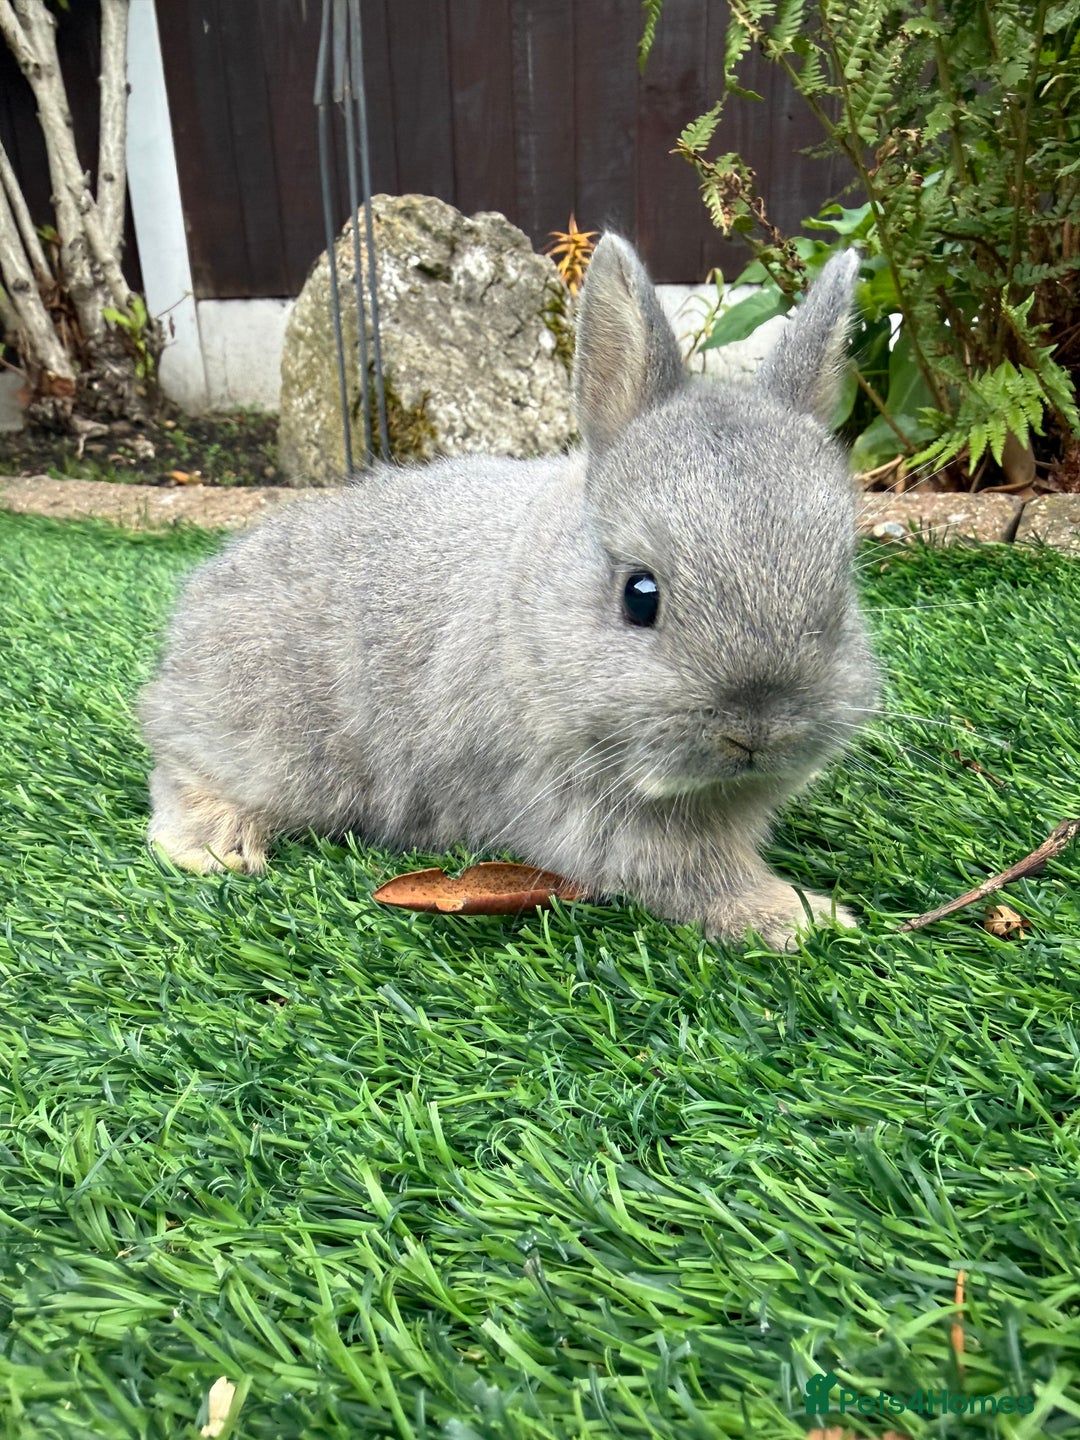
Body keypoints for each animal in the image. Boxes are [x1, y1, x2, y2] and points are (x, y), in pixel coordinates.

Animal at [140, 234, 877, 950]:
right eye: (640, 594)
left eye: (841, 588)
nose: (757, 729)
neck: (527, 615)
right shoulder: (583, 810)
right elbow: (690, 875)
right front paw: (804, 918)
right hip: (265, 736)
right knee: (183, 768)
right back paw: (217, 847)